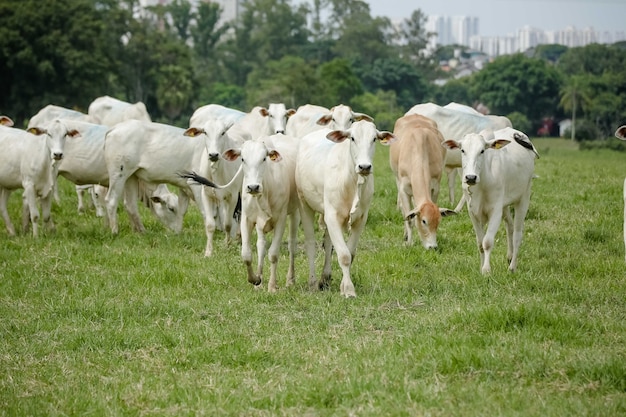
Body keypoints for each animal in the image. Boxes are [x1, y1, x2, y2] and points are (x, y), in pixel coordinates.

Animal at [180, 135, 300, 290]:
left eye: (264, 158)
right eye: (243, 159)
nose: (253, 187)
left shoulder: (280, 219)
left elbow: (273, 254)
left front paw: (272, 286)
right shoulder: (247, 219)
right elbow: (246, 255)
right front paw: (255, 279)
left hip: (295, 213)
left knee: (291, 245)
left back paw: (290, 279)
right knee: (261, 245)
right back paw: (260, 281)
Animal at [294, 118, 392, 298]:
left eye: (374, 139)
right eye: (352, 138)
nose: (364, 167)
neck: (352, 182)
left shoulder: (361, 218)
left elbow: (350, 253)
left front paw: (343, 285)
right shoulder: (332, 215)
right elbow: (344, 255)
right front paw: (348, 289)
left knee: (327, 244)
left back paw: (325, 278)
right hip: (304, 204)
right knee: (311, 244)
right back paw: (313, 282)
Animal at [386, 114, 454, 247]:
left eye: (438, 221)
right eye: (424, 221)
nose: (432, 247)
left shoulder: (435, 187)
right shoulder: (403, 190)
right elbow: (409, 218)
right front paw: (409, 243)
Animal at [438, 128, 536, 274]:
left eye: (482, 151)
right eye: (462, 150)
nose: (470, 177)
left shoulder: (495, 211)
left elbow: (487, 242)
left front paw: (486, 270)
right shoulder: (473, 212)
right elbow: (480, 243)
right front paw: (481, 266)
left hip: (524, 197)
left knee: (517, 235)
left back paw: (512, 266)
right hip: (505, 205)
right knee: (510, 226)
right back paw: (509, 256)